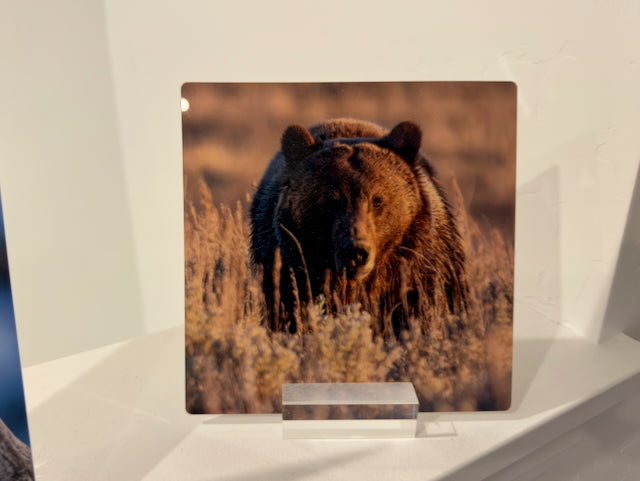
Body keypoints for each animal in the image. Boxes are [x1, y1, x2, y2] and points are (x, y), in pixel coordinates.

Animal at [249, 118, 468, 337]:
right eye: (330, 201)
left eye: (377, 200)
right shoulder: (290, 265)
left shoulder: (417, 266)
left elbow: (419, 309)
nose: (356, 252)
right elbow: (289, 310)